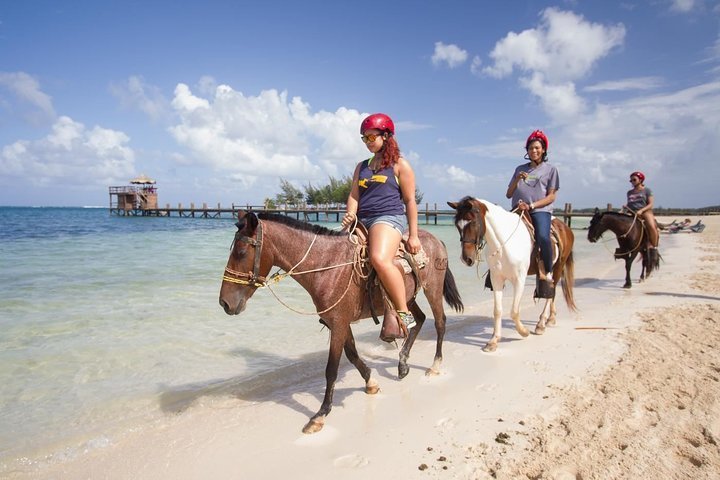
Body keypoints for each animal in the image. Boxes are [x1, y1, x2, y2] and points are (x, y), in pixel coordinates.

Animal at [218, 212, 462, 434]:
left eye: (241, 252)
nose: (224, 303)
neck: (327, 265)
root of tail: (435, 239)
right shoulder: (340, 323)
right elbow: (352, 354)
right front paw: (371, 383)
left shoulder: (338, 323)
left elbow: (331, 369)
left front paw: (320, 414)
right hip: (408, 299)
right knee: (418, 320)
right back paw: (402, 364)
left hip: (433, 290)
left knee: (440, 322)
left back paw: (435, 365)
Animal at [448, 196, 576, 352]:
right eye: (457, 225)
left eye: (473, 222)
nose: (466, 258)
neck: (503, 243)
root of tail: (565, 226)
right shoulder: (496, 279)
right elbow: (497, 310)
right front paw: (493, 341)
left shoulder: (519, 279)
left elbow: (514, 311)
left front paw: (524, 332)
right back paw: (551, 318)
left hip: (558, 267)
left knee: (551, 292)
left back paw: (541, 323)